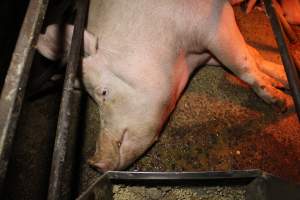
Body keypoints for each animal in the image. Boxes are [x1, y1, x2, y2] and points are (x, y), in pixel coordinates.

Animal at [37, 0, 290, 172]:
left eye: (103, 92)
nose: (94, 162)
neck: (183, 60)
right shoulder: (206, 54)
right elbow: (252, 55)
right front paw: (282, 82)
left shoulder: (214, 24)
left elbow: (243, 63)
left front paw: (283, 102)